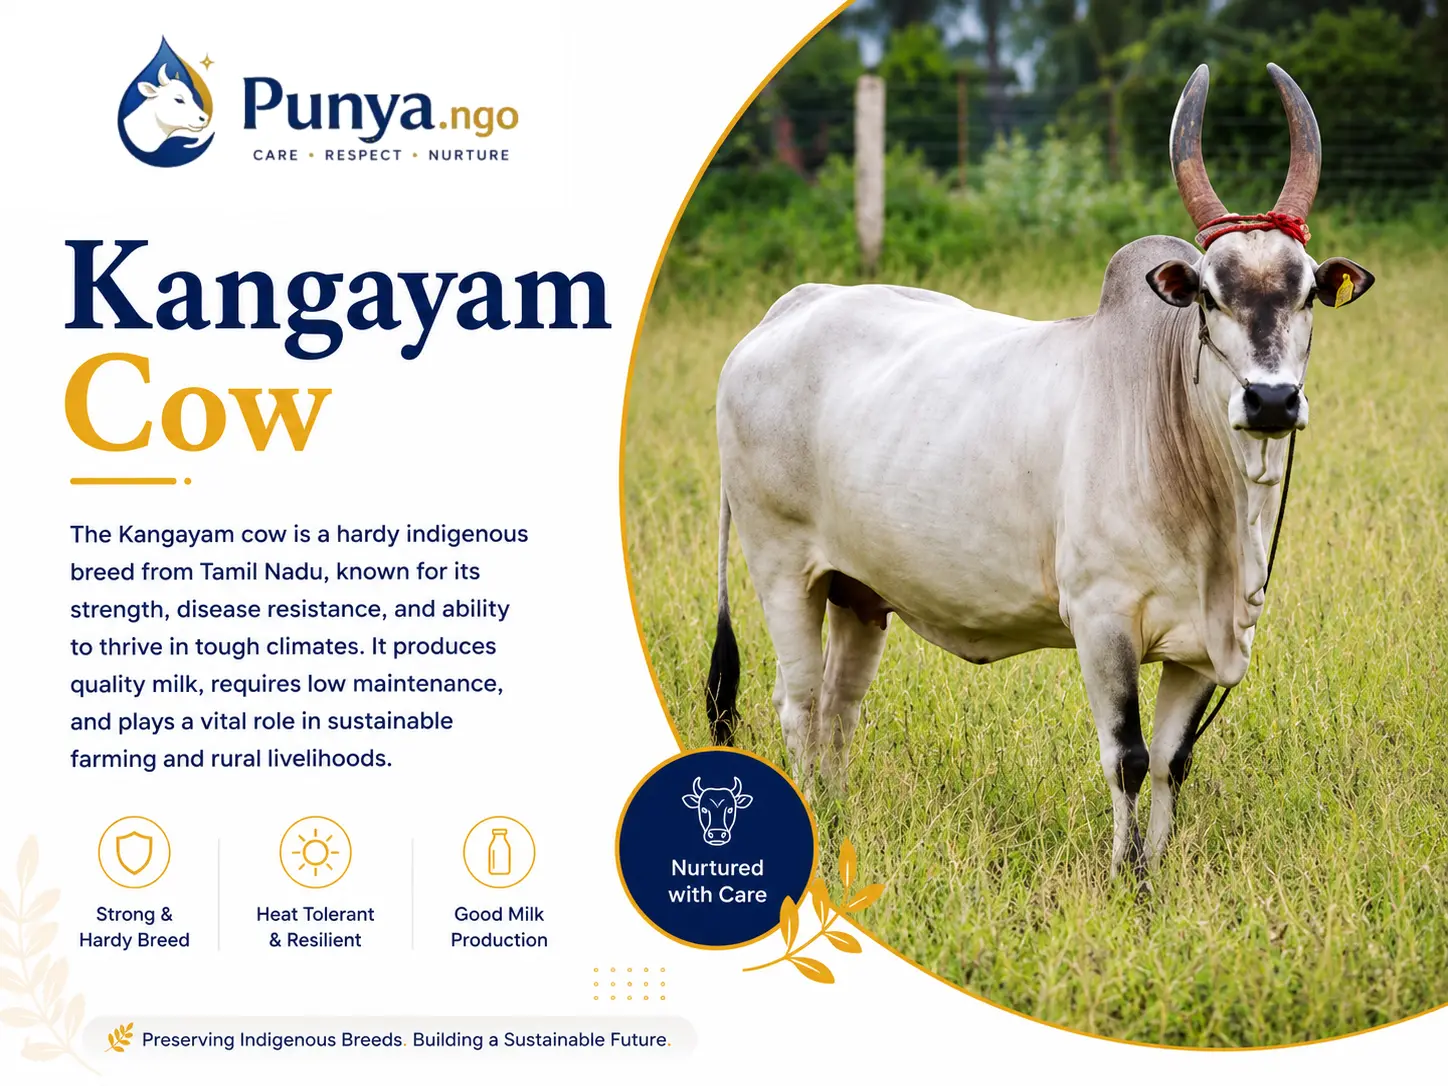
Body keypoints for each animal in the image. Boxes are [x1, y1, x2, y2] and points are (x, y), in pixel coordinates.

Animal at [705, 64, 1374, 876]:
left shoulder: (1200, 647)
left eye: (1307, 293)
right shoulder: (1101, 621)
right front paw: (1125, 880)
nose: (1272, 400)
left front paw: (1155, 876)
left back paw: (835, 816)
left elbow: (1171, 762)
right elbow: (1127, 758)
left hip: (858, 593)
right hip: (780, 569)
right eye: (1211, 298)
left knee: (838, 707)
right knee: (799, 705)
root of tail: (789, 308)